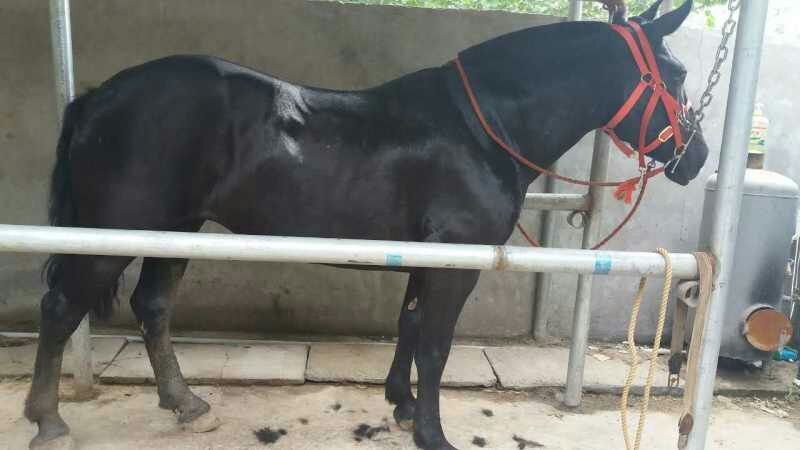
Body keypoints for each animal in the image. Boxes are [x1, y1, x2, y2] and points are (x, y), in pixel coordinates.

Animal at [25, 1, 708, 449]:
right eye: (675, 75)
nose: (696, 158)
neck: (480, 129)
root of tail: (96, 97)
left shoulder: (427, 256)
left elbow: (409, 327)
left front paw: (401, 406)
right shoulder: (456, 261)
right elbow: (435, 345)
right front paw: (432, 433)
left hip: (175, 228)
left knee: (153, 306)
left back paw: (187, 404)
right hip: (116, 231)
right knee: (62, 308)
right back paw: (48, 421)